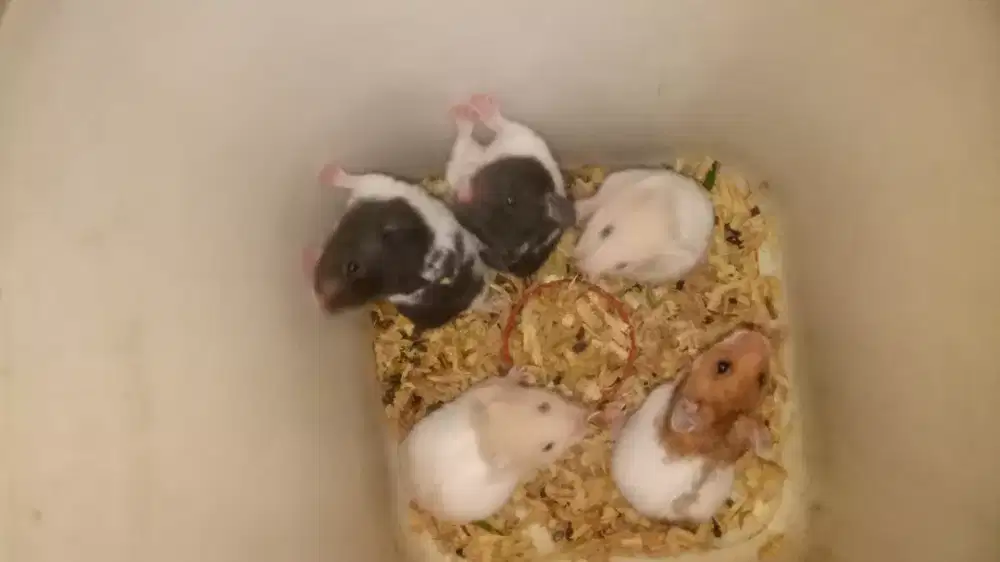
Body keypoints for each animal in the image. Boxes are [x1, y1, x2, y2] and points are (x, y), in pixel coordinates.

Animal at [304, 164, 490, 333]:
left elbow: (350, 179)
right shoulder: (376, 183)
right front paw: (325, 173)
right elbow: (350, 180)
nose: (322, 306)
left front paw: (325, 171)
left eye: (353, 267)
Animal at [399, 370, 589, 523]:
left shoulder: (486, 387)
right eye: (548, 447)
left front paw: (522, 371)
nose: (585, 418)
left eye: (544, 406)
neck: (486, 431)